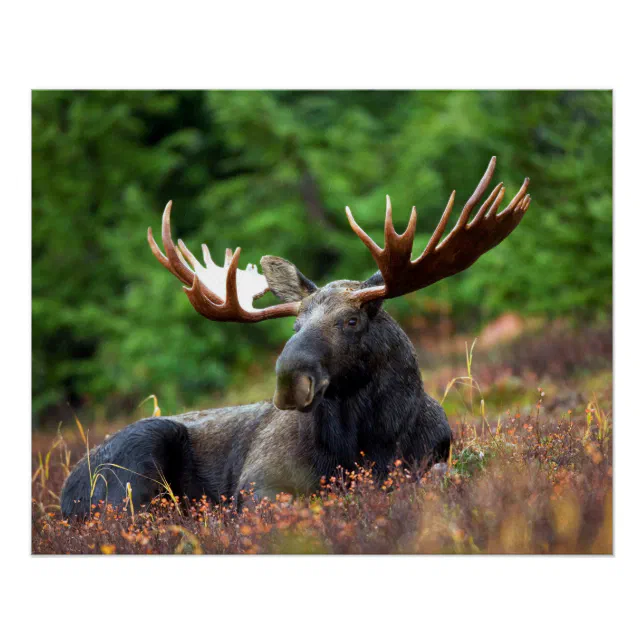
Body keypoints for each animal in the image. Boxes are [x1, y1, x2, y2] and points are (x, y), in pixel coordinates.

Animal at [60, 157, 531, 517]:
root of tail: (65, 492)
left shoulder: (432, 458)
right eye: (295, 326)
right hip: (135, 463)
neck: (371, 440)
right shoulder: (259, 483)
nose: (289, 380)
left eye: (351, 321)